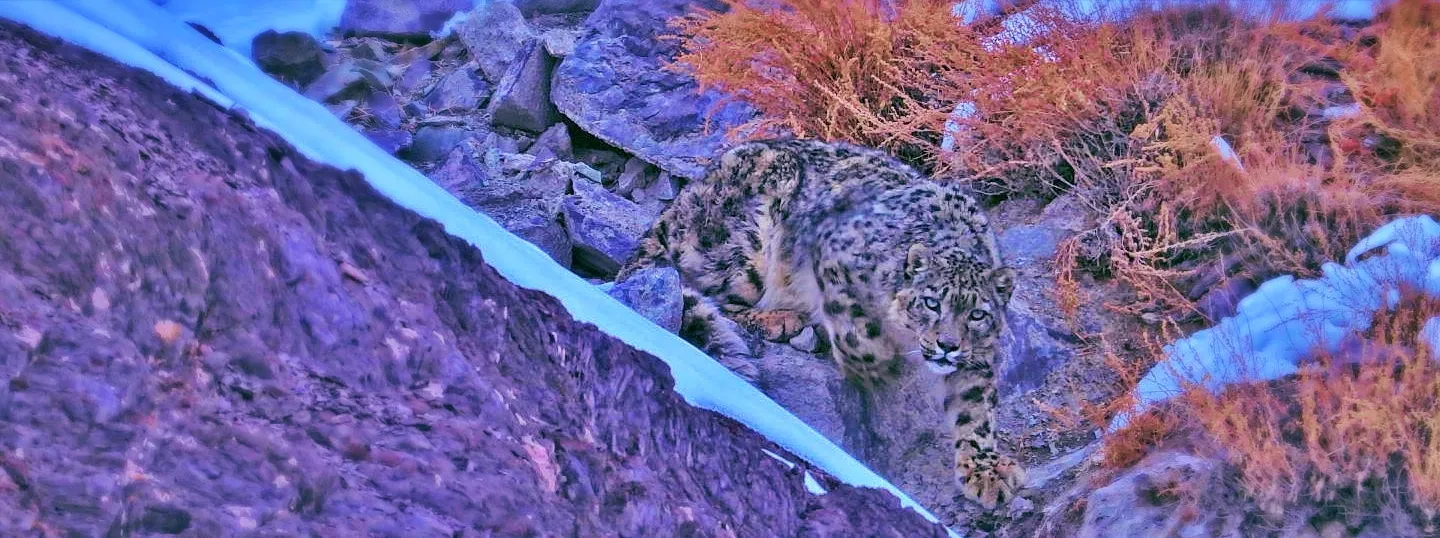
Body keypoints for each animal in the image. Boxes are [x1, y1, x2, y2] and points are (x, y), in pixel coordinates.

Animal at [616, 138, 1024, 509]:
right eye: (931, 302)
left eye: (977, 314)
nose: (948, 345)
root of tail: (677, 206)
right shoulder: (834, 256)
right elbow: (860, 337)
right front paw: (876, 366)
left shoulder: (980, 353)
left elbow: (976, 408)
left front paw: (986, 472)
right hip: (749, 244)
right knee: (713, 292)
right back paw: (782, 319)